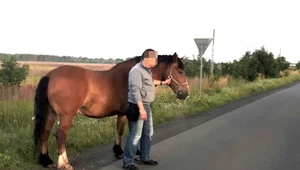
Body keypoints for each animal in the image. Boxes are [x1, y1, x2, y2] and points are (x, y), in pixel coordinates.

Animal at [33, 51, 190, 169]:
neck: (129, 75)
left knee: (45, 133)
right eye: (180, 71)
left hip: (51, 113)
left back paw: (46, 160)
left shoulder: (121, 113)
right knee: (60, 135)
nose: (185, 93)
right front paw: (136, 153)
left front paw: (118, 151)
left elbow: (119, 130)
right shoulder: (132, 113)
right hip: (66, 116)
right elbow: (134, 132)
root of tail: (50, 75)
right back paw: (64, 164)